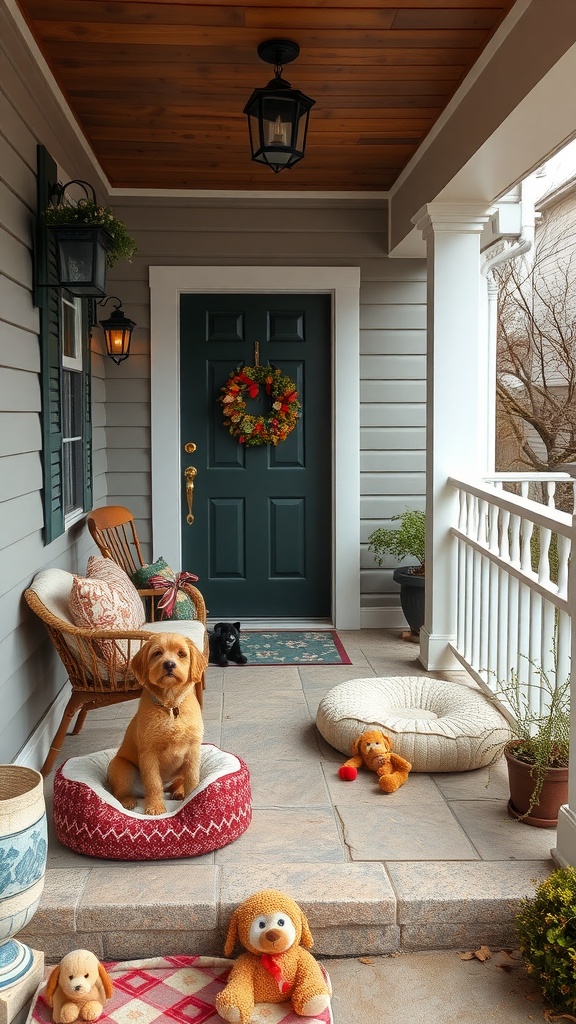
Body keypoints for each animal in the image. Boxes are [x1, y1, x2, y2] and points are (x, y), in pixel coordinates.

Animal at [106, 630, 204, 815]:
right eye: (157, 653)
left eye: (182, 654)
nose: (169, 664)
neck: (170, 707)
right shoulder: (149, 753)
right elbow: (153, 784)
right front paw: (155, 807)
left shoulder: (193, 750)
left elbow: (192, 779)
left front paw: (192, 799)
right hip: (122, 767)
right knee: (121, 792)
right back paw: (128, 801)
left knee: (179, 782)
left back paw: (179, 791)